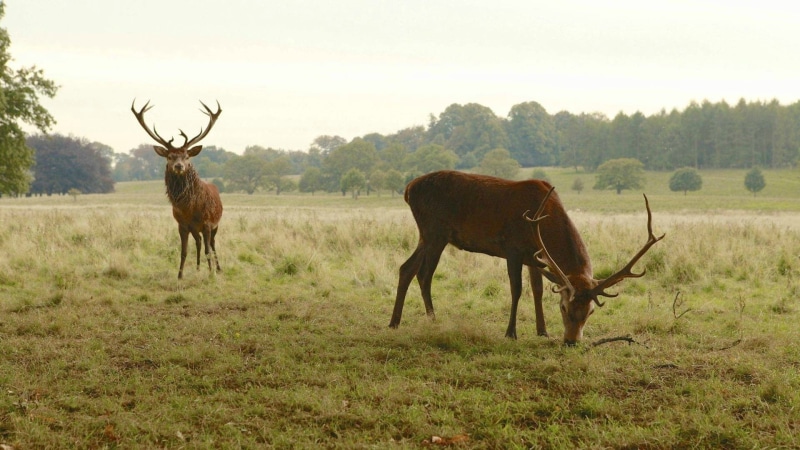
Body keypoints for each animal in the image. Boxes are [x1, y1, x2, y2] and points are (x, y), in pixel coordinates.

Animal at [131, 100, 224, 279]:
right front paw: (180, 276)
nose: (179, 166)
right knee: (199, 242)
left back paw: (218, 268)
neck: (189, 209)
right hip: (195, 229)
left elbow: (208, 250)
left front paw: (211, 274)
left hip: (215, 225)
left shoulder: (207, 223)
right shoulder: (182, 225)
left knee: (212, 244)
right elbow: (183, 251)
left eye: (187, 156)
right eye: (169, 156)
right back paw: (198, 268)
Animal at [389, 170, 664, 345]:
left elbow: (538, 290)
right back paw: (413, 321)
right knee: (419, 272)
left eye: (590, 312)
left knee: (410, 269)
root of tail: (408, 189)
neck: (545, 221)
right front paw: (511, 333)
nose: (571, 341)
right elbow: (517, 289)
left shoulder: (536, 256)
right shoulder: (513, 248)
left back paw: (409, 321)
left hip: (431, 235)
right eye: (564, 307)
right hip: (434, 230)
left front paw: (542, 331)